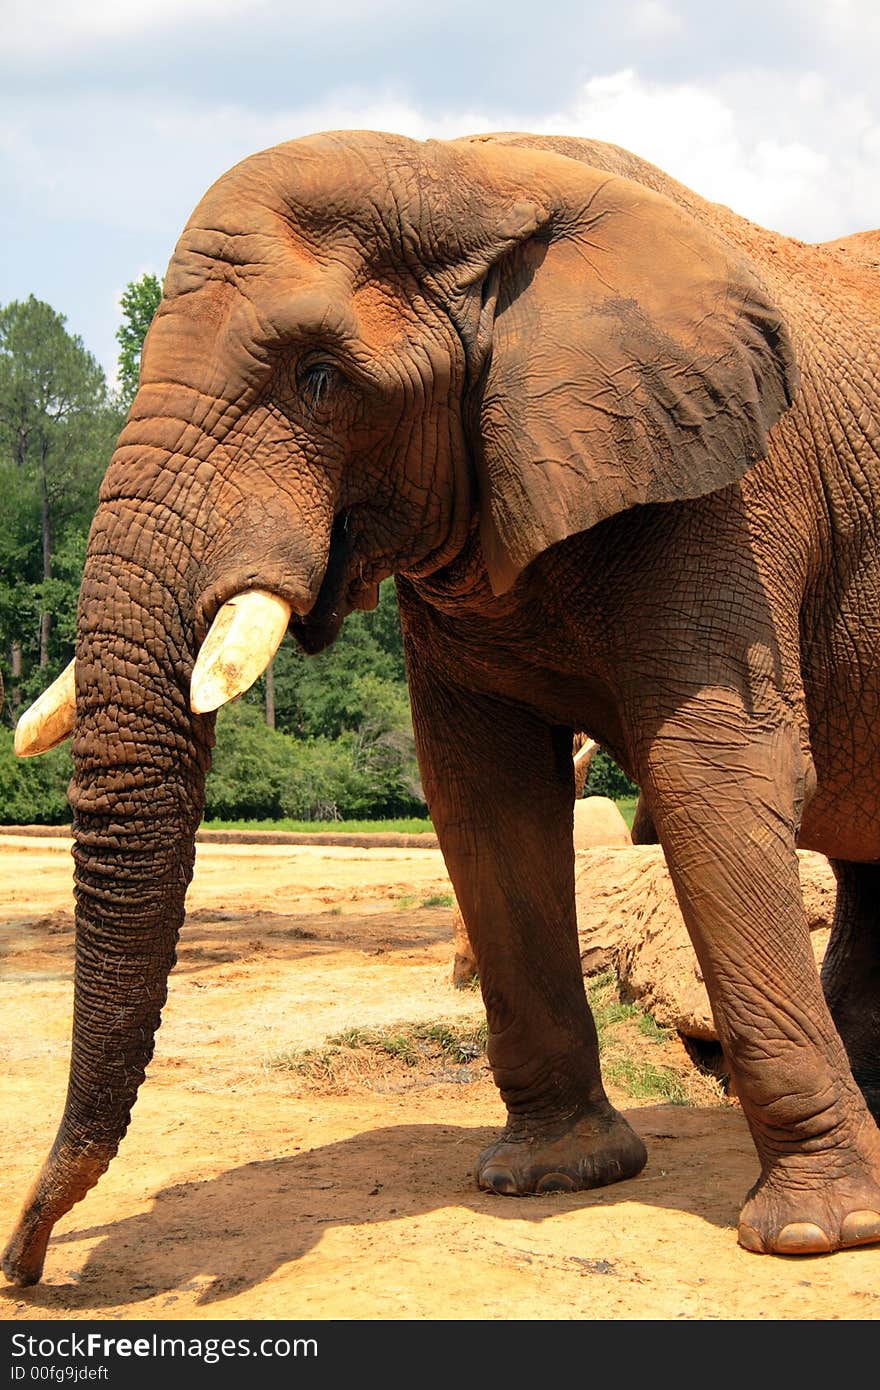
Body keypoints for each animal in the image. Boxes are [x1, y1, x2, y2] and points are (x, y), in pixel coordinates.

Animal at [5, 130, 878, 1278]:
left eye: (319, 378)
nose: (28, 1264)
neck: (469, 175)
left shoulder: (726, 490)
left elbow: (714, 773)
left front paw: (819, 1232)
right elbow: (482, 796)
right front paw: (549, 1175)